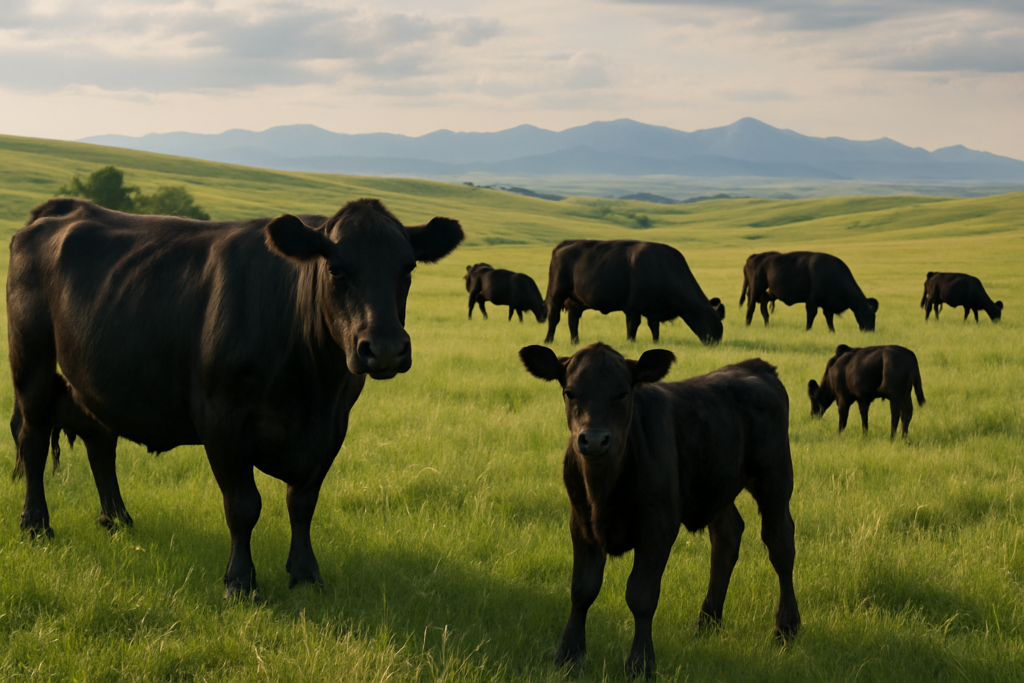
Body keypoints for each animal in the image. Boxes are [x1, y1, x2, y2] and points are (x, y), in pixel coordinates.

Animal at [7, 197, 463, 597]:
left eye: (408, 268)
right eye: (336, 270)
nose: (384, 349)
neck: (310, 388)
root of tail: (62, 209)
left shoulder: (333, 427)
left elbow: (303, 503)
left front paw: (305, 574)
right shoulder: (222, 420)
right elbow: (244, 506)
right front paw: (240, 582)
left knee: (101, 442)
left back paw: (117, 519)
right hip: (31, 359)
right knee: (33, 438)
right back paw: (36, 524)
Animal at [519, 343, 800, 678]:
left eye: (623, 393)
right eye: (570, 392)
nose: (596, 440)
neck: (603, 489)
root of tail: (755, 366)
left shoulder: (659, 526)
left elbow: (641, 595)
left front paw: (640, 663)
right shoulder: (581, 523)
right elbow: (582, 589)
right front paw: (569, 655)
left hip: (775, 479)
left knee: (780, 543)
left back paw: (786, 628)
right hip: (716, 482)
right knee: (727, 537)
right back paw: (707, 621)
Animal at [542, 239, 725, 345]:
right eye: (716, 321)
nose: (716, 341)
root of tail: (564, 243)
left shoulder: (653, 310)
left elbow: (654, 328)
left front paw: (656, 343)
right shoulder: (633, 308)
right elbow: (632, 327)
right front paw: (631, 343)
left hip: (575, 302)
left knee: (573, 321)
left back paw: (576, 342)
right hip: (556, 295)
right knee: (554, 318)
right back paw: (548, 340)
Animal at [740, 251, 878, 331]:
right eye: (868, 315)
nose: (870, 330)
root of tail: (753, 257)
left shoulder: (827, 304)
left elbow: (829, 318)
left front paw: (832, 331)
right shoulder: (812, 301)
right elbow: (811, 315)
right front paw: (808, 329)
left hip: (769, 292)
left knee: (763, 305)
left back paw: (767, 326)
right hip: (756, 289)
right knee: (751, 306)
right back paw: (747, 325)